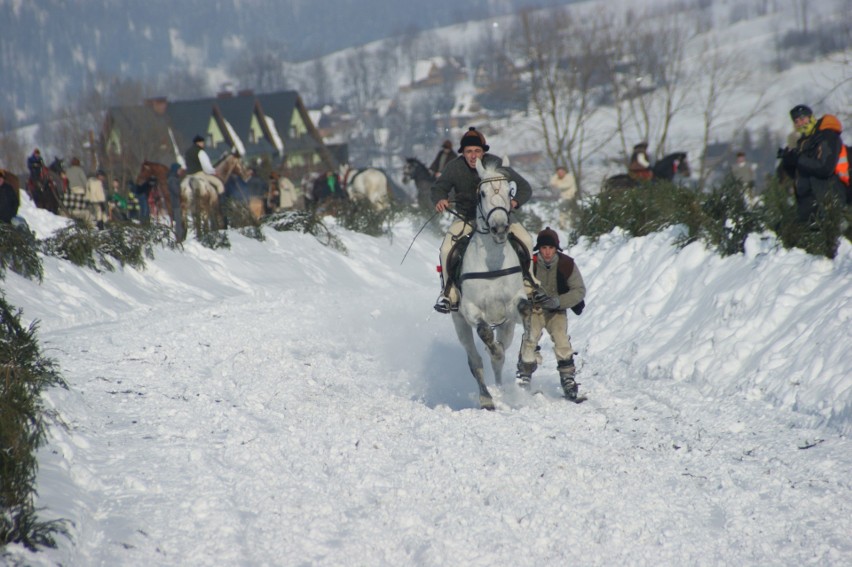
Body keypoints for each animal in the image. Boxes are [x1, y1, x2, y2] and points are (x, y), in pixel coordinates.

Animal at [452, 158, 532, 410]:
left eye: (509, 191)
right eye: (483, 193)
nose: (499, 228)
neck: (493, 262)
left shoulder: (513, 305)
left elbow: (526, 312)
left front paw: (528, 358)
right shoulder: (470, 309)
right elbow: (485, 333)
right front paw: (492, 349)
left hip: (506, 325)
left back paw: (501, 391)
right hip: (459, 323)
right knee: (475, 360)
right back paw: (487, 398)